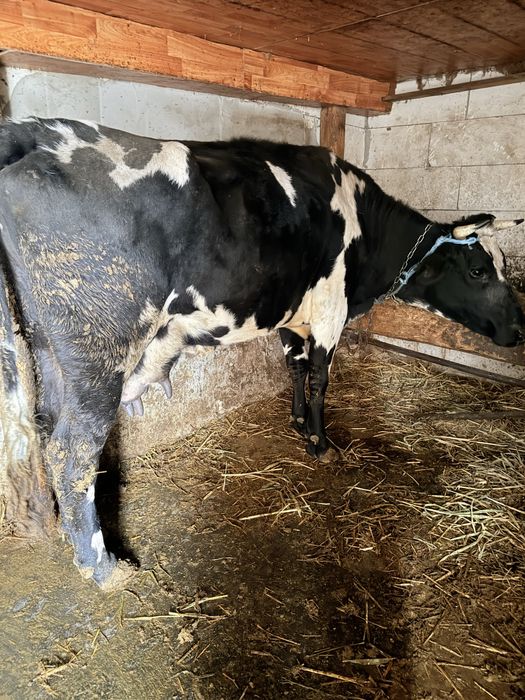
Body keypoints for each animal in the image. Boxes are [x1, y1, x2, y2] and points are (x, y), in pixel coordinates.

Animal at [0, 117, 522, 589]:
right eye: (479, 270)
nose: (518, 328)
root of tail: (35, 132)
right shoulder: (331, 310)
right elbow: (321, 377)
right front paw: (320, 443)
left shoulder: (293, 318)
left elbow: (295, 368)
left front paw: (297, 422)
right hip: (99, 345)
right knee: (73, 451)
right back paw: (103, 568)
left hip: (48, 349)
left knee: (48, 431)